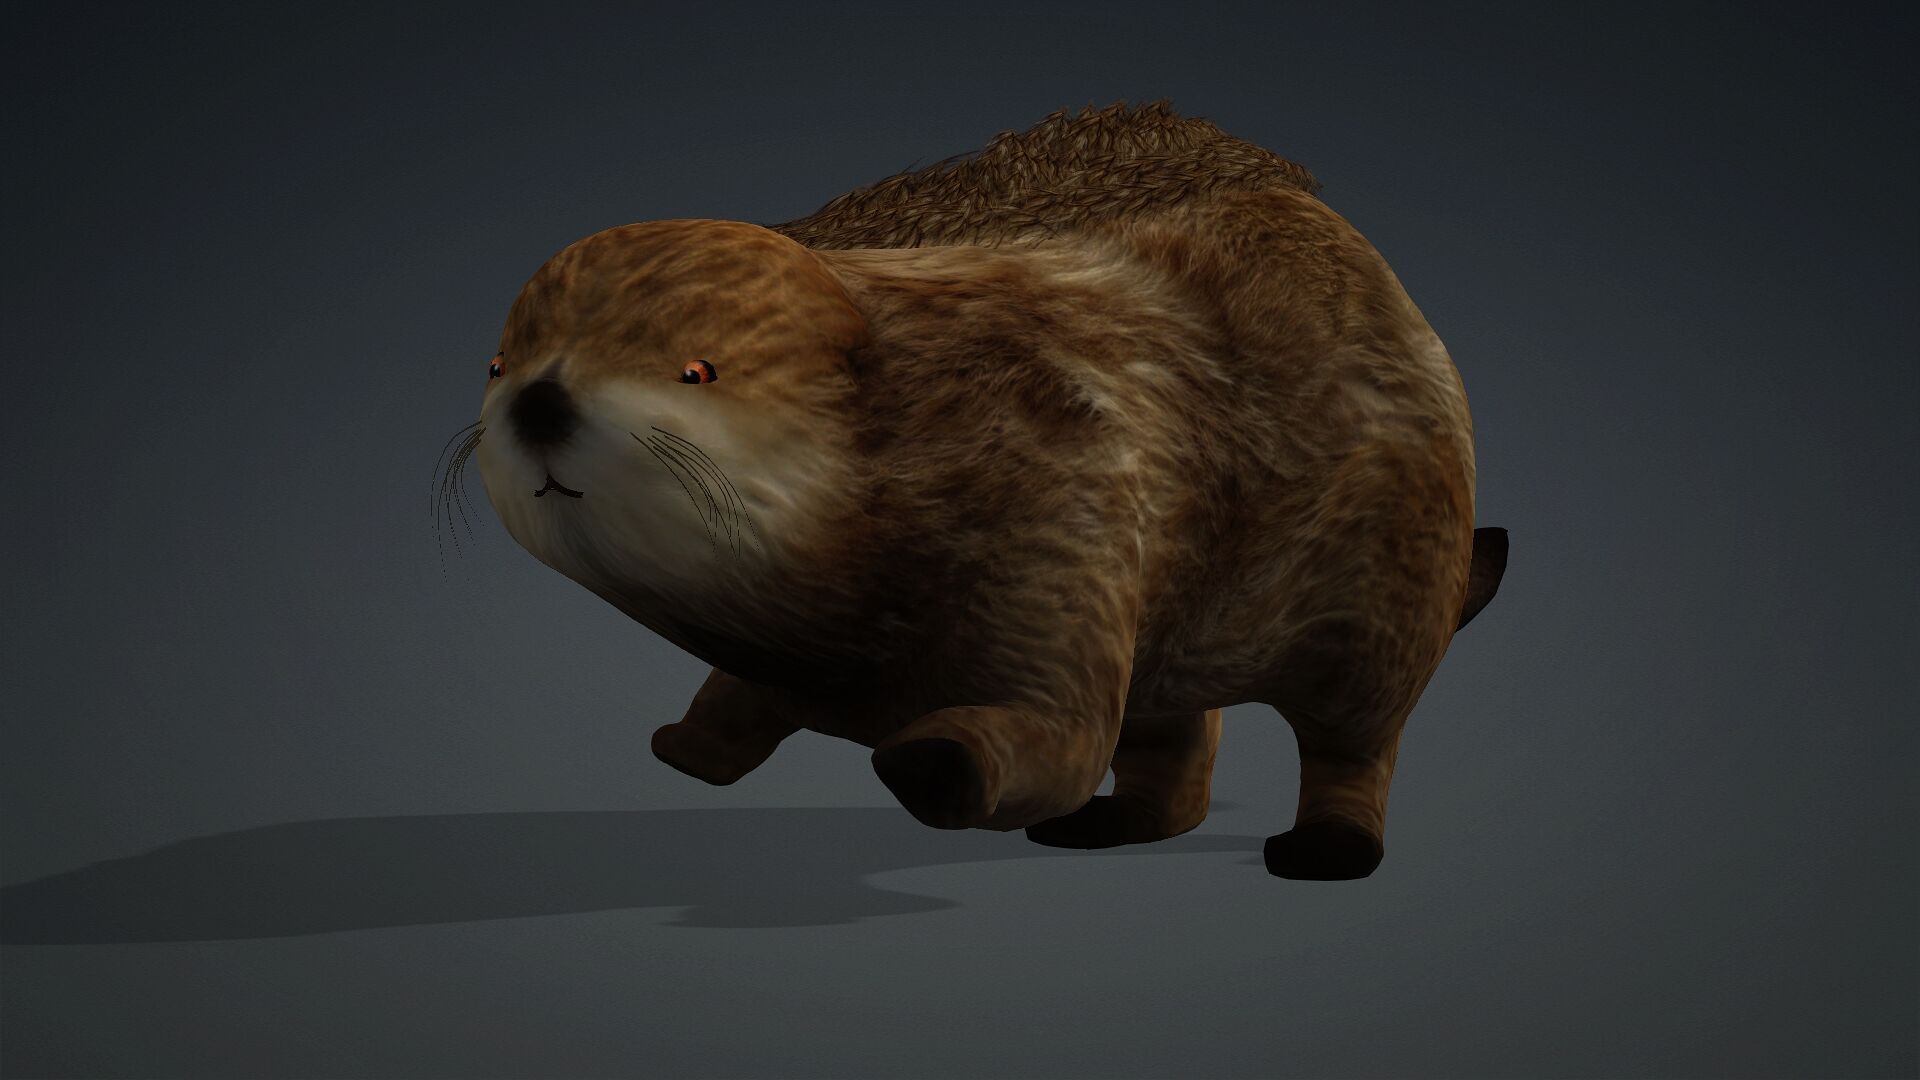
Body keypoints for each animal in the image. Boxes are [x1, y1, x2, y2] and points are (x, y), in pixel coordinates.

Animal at [468, 100, 1508, 880]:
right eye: (499, 361)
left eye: (698, 368)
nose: (540, 398)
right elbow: (742, 695)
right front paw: (686, 740)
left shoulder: (1071, 504)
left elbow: (1062, 735)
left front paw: (931, 759)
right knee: (1175, 738)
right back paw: (1113, 823)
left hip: (1393, 573)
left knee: (1355, 734)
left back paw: (1325, 845)